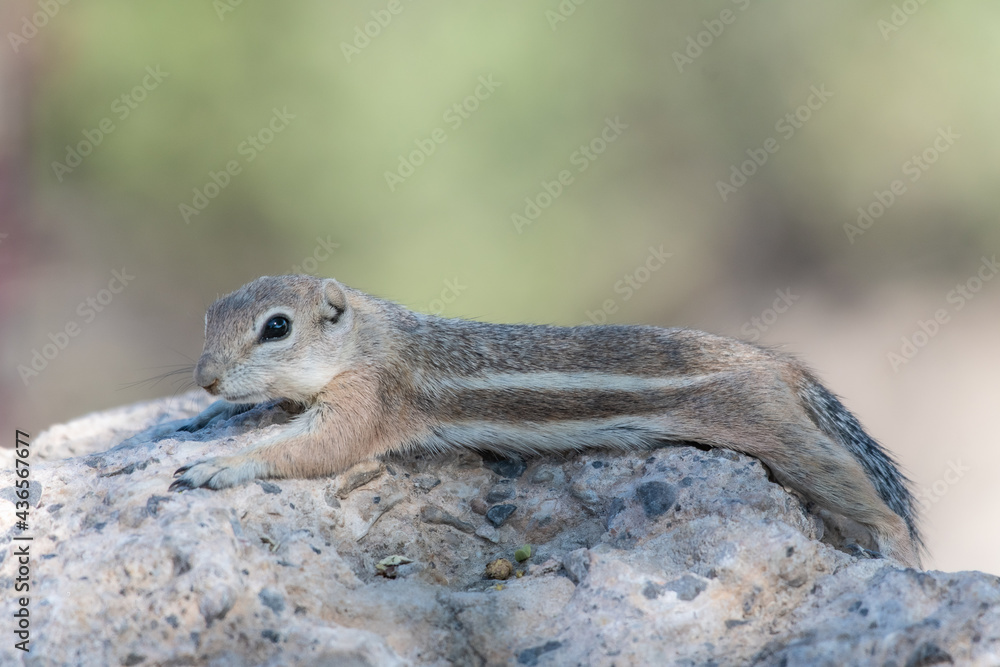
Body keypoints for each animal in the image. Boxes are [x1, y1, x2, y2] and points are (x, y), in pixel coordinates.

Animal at [122, 274, 922, 568]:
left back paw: (894, 548)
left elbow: (322, 444)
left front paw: (219, 462)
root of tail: (778, 362)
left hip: (770, 428)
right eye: (209, 317)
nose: (205, 378)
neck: (371, 336)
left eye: (277, 327)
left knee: (848, 480)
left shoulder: (369, 399)